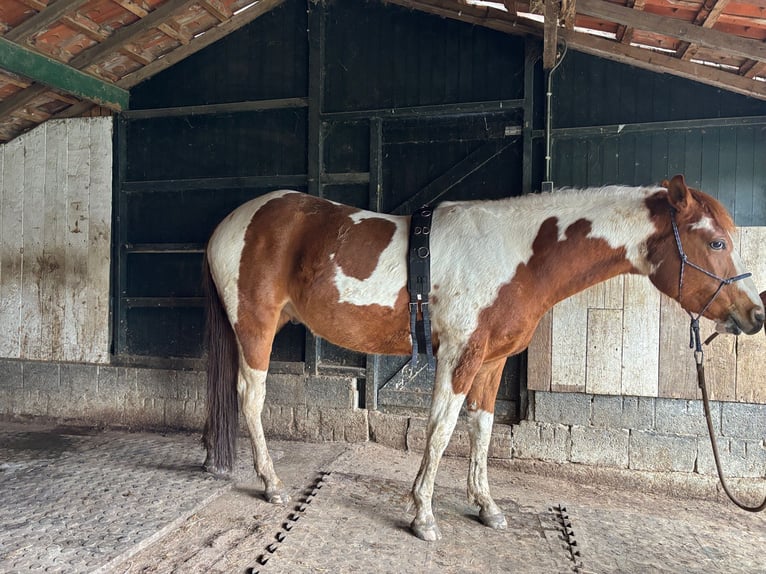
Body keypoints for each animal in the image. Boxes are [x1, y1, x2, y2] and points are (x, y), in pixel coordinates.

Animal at [201, 174, 764, 541]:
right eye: (716, 242)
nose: (754, 314)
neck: (519, 254)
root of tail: (229, 224)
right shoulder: (459, 355)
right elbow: (440, 429)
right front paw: (423, 515)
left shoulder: (492, 363)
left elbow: (482, 429)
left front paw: (486, 506)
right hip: (256, 328)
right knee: (250, 398)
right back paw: (271, 484)